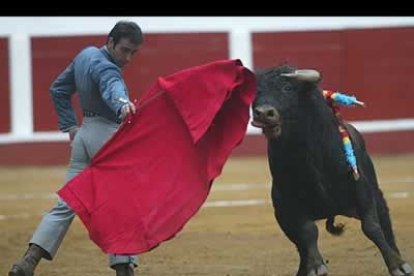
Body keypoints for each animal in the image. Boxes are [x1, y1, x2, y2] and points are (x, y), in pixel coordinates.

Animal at [251, 63, 412, 276]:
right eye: (257, 91)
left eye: (288, 88)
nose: (263, 113)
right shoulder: (287, 205)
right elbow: (307, 233)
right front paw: (315, 267)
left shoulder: (362, 191)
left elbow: (372, 227)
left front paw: (397, 265)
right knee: (301, 245)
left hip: (376, 196)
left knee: (386, 228)